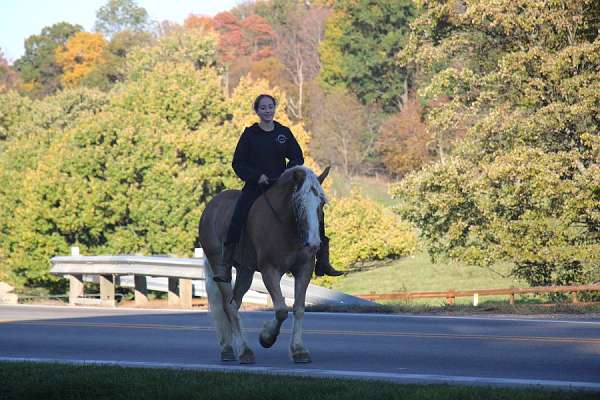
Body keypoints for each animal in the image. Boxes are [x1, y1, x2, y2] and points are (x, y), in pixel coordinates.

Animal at [197, 164, 330, 364]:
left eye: (321, 203)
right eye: (298, 202)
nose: (314, 244)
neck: (286, 227)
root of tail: (210, 207)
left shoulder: (304, 270)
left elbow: (298, 308)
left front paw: (299, 350)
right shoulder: (269, 271)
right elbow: (281, 309)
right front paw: (266, 338)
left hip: (245, 271)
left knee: (235, 303)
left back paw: (234, 349)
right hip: (219, 266)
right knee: (228, 307)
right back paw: (242, 350)